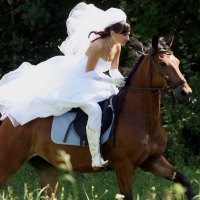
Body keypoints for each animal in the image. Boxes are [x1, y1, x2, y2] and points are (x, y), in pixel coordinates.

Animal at [0, 36, 195, 200]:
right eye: (162, 63)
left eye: (177, 62)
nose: (185, 93)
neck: (143, 118)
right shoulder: (124, 166)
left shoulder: (153, 161)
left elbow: (185, 181)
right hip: (9, 162)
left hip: (47, 169)